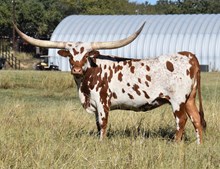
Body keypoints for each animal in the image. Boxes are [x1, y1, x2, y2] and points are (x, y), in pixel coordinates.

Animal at [14, 21, 206, 144]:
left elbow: (103, 123)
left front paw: (102, 142)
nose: (76, 70)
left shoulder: (102, 102)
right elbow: (98, 125)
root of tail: (189, 55)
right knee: (196, 119)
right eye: (70, 55)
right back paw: (198, 145)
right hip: (189, 99)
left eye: (86, 55)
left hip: (177, 100)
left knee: (181, 121)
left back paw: (176, 144)